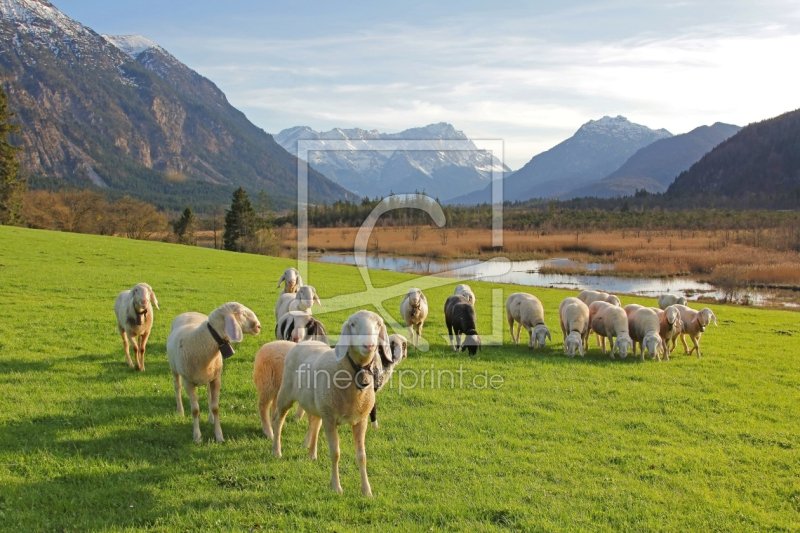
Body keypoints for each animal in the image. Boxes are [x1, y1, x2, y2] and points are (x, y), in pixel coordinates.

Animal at [168, 302, 262, 442]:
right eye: (243, 314)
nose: (258, 326)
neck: (201, 342)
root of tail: (189, 312)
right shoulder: (188, 382)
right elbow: (195, 410)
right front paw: (197, 437)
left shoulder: (216, 379)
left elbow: (215, 407)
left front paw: (219, 436)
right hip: (175, 369)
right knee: (177, 388)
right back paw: (180, 411)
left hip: (209, 377)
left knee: (208, 396)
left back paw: (211, 419)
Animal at [272, 308, 394, 494]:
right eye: (353, 324)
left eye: (379, 324)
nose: (369, 345)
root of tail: (302, 343)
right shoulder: (330, 419)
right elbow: (335, 453)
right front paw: (336, 487)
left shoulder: (361, 420)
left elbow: (362, 456)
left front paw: (366, 490)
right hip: (286, 394)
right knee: (279, 420)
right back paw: (276, 451)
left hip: (317, 404)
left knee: (315, 423)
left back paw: (312, 454)